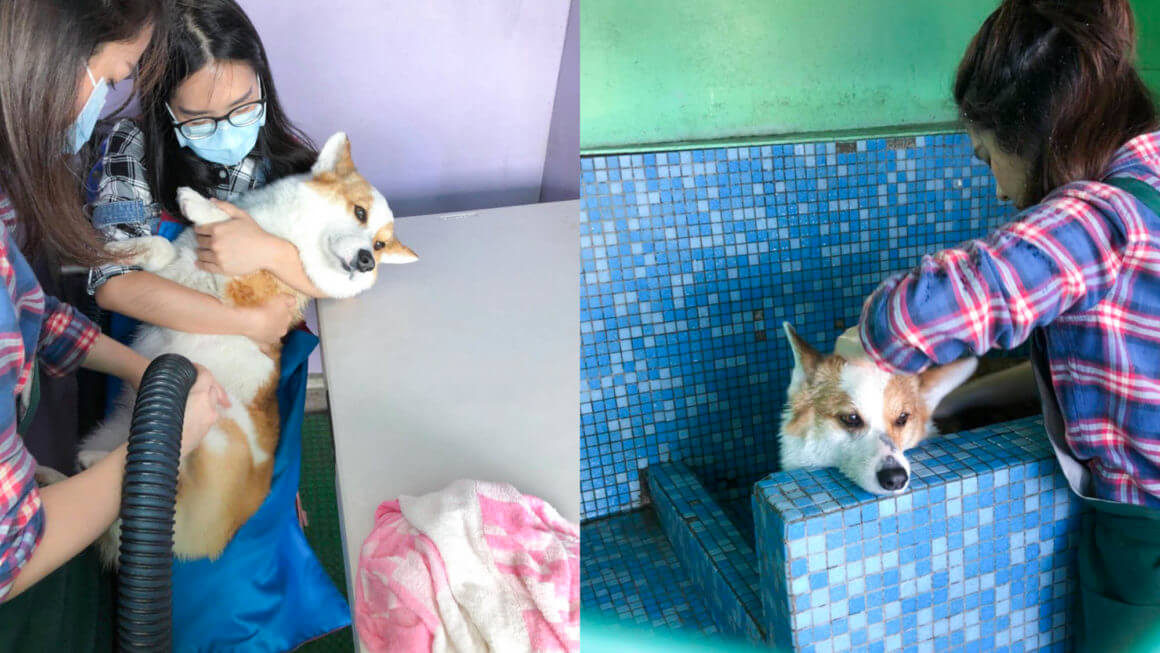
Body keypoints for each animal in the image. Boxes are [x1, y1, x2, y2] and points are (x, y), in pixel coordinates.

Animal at [78, 131, 417, 565]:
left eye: (379, 244)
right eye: (360, 212)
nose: (366, 262)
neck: (290, 233)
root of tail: (217, 538)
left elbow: (228, 229)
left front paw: (198, 205)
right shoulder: (176, 262)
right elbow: (160, 249)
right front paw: (127, 249)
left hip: (221, 430)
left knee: (182, 471)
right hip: (108, 435)